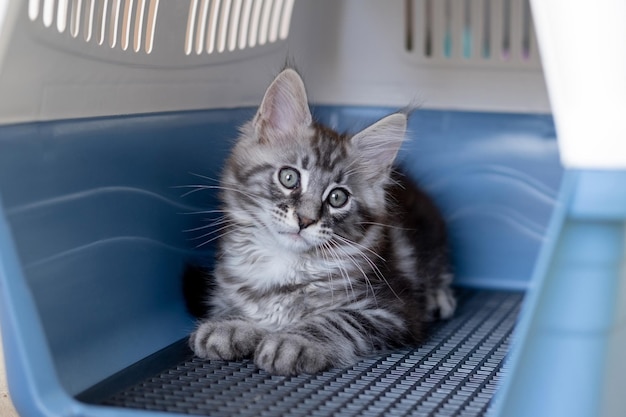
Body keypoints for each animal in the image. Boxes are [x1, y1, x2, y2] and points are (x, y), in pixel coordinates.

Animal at [185, 68, 454, 374]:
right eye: (289, 177)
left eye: (338, 197)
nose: (305, 219)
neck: (283, 264)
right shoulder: (229, 289)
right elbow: (241, 307)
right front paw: (230, 324)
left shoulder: (392, 309)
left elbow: (337, 320)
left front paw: (292, 341)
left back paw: (439, 297)